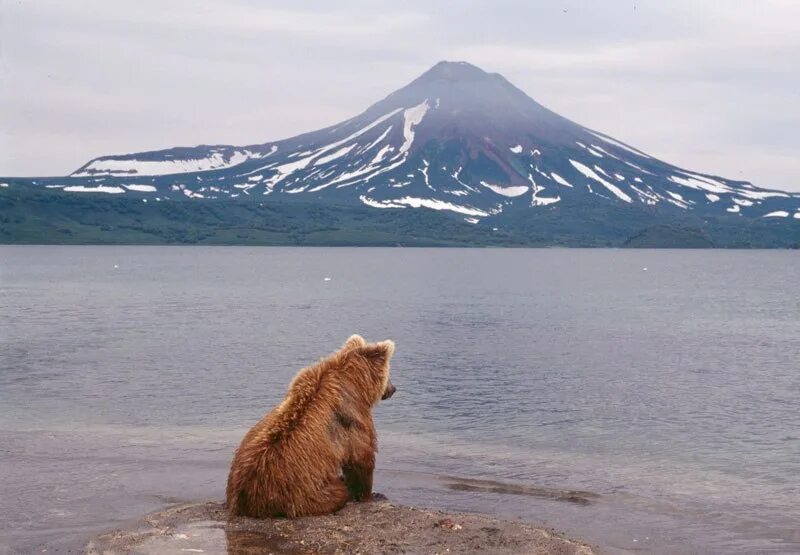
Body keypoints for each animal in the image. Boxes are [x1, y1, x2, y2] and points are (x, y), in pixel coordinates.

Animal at [225, 334, 396, 520]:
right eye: (389, 373)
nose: (394, 389)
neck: (354, 384)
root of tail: (245, 501)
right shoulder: (352, 417)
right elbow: (361, 457)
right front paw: (371, 495)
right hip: (301, 494)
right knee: (338, 491)